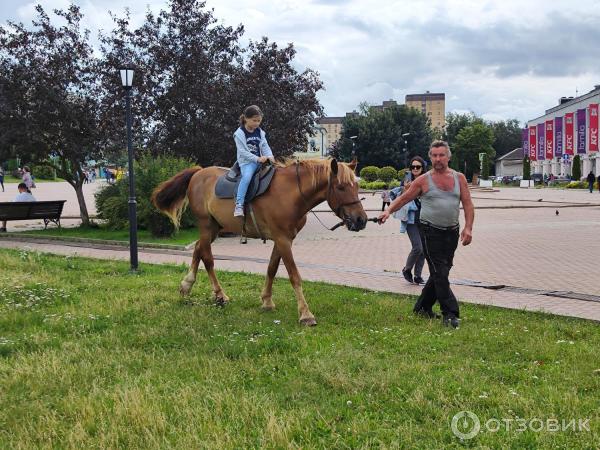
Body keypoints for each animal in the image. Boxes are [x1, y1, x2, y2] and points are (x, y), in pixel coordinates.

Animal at [151, 160, 366, 326]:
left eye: (356, 187)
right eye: (341, 187)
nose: (361, 220)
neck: (291, 194)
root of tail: (198, 173)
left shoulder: (282, 239)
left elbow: (271, 269)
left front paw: (267, 302)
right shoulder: (283, 240)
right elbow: (294, 276)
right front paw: (305, 314)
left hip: (213, 229)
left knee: (198, 250)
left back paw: (188, 286)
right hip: (206, 226)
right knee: (208, 258)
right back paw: (218, 294)